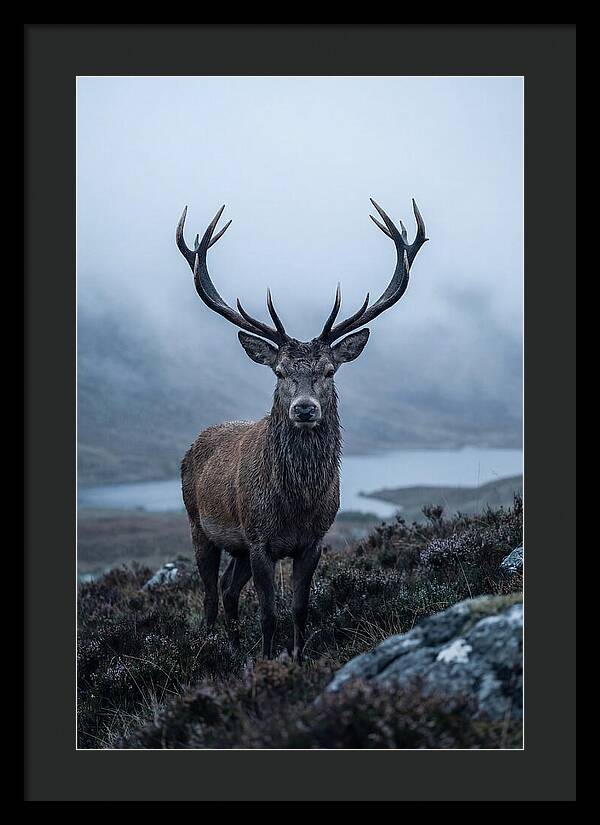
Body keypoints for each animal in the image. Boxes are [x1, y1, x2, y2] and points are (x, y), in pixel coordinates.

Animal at [176, 198, 427, 661]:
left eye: (329, 370)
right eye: (279, 372)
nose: (305, 408)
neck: (295, 504)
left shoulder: (312, 541)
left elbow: (299, 608)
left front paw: (296, 657)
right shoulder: (259, 540)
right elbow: (268, 613)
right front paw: (267, 660)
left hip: (236, 545)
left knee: (228, 589)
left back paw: (234, 647)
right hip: (199, 525)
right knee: (209, 593)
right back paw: (212, 645)